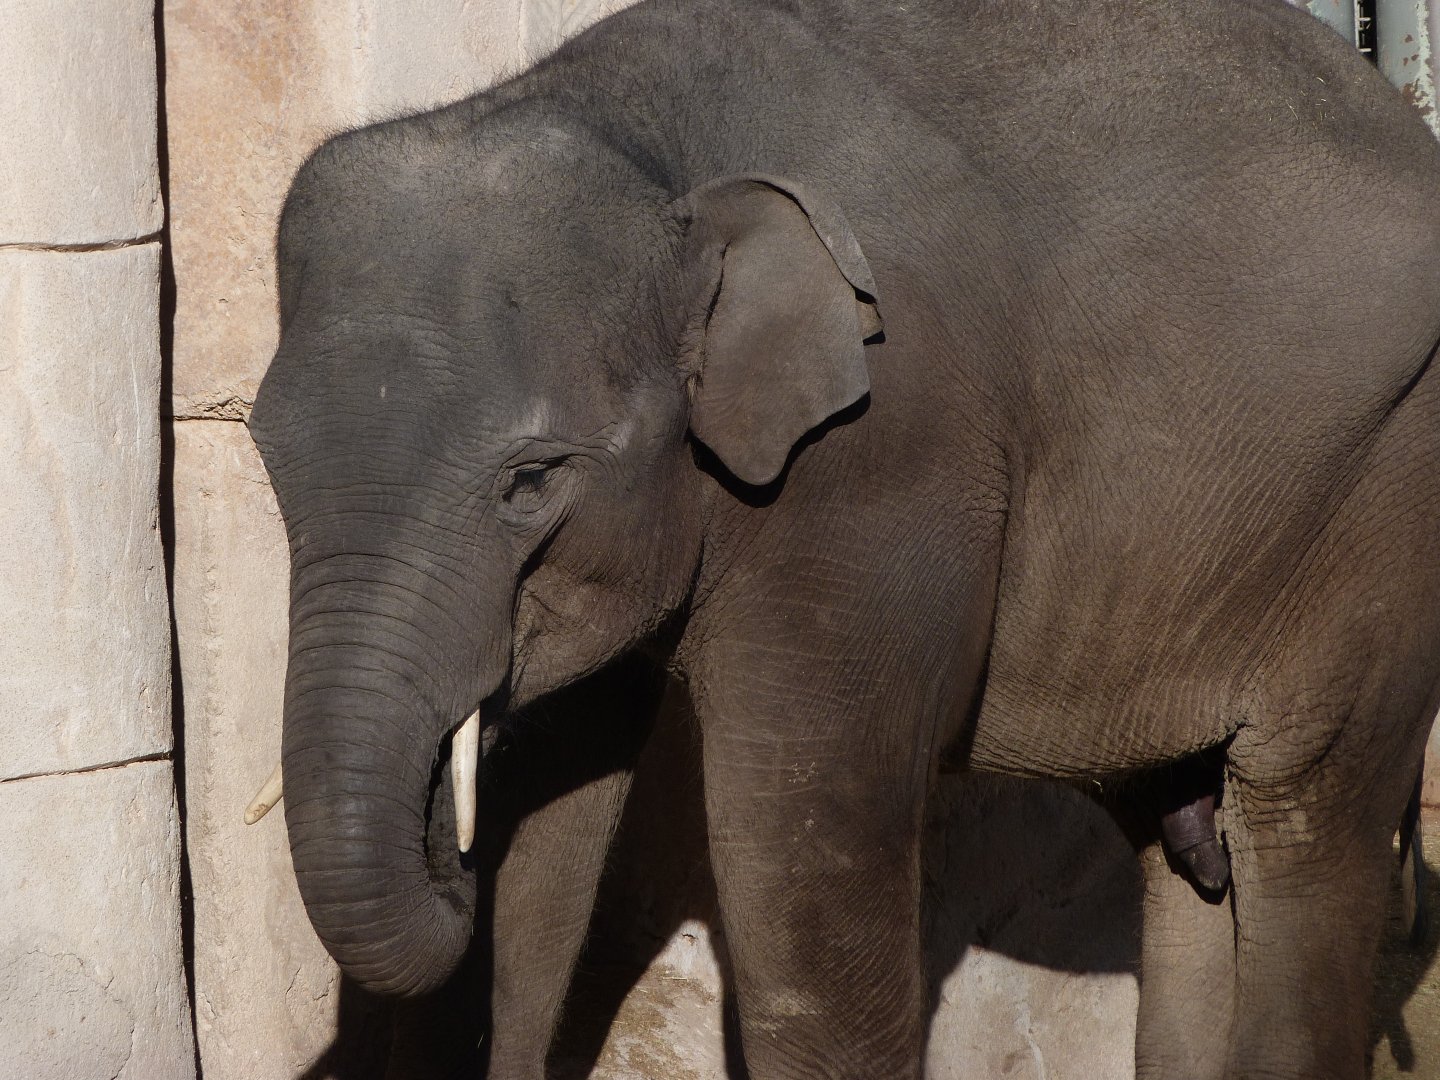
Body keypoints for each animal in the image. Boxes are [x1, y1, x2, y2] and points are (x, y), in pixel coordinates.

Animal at [243, 0, 1440, 1076]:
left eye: (530, 481)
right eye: (263, 453)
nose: (445, 859)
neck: (649, 149)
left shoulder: (882, 458)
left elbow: (799, 853)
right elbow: (555, 814)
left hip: (1386, 494)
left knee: (1303, 821)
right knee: (1189, 859)